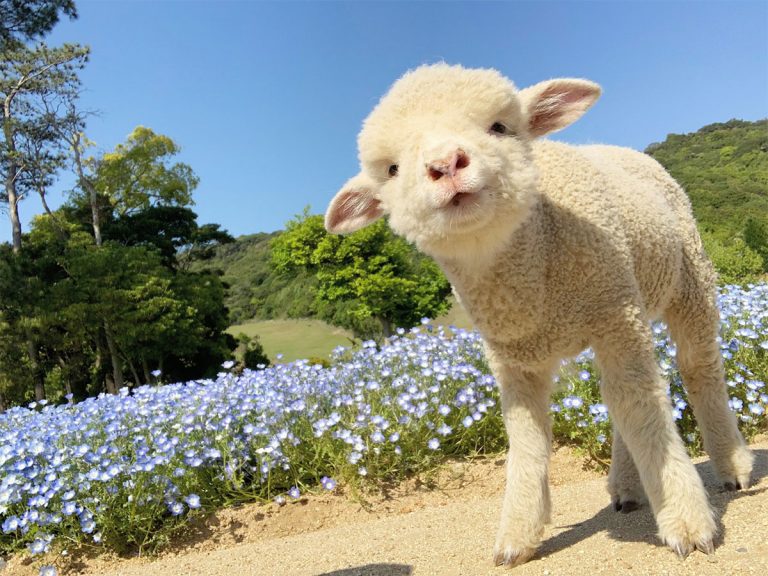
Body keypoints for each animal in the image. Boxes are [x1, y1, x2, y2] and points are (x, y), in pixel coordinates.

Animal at [320, 64, 752, 568]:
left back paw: (732, 465)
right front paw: (516, 536)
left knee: (695, 370)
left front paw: (685, 522)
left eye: (500, 127)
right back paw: (627, 488)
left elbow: (644, 411)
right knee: (620, 397)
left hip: (685, 282)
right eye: (391, 170)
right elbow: (528, 439)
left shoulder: (614, 310)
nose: (446, 164)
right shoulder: (515, 358)